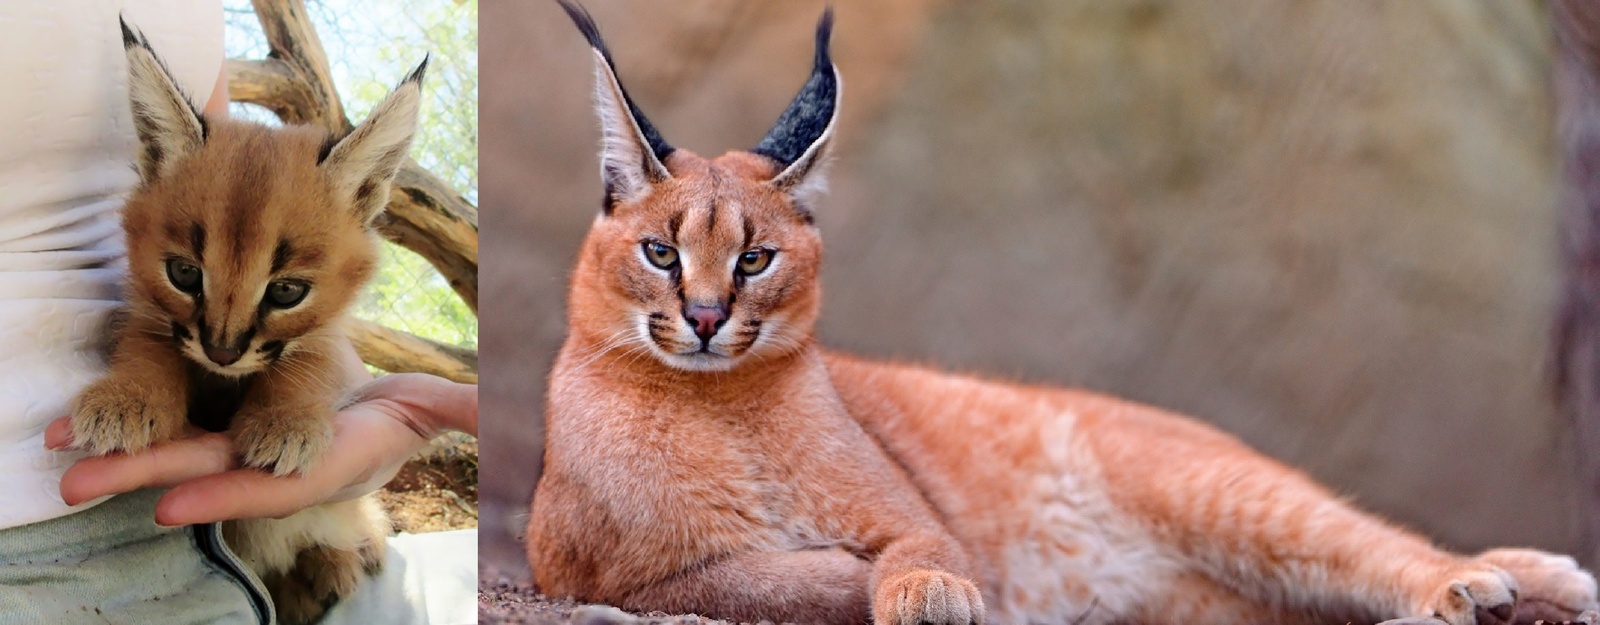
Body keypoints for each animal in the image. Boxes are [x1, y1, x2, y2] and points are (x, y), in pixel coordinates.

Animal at [69, 19, 425, 625]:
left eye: (286, 291)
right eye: (184, 273)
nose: (222, 350)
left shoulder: (326, 334)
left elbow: (307, 363)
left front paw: (286, 422)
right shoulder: (151, 316)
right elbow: (149, 348)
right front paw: (124, 400)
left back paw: (342, 559)